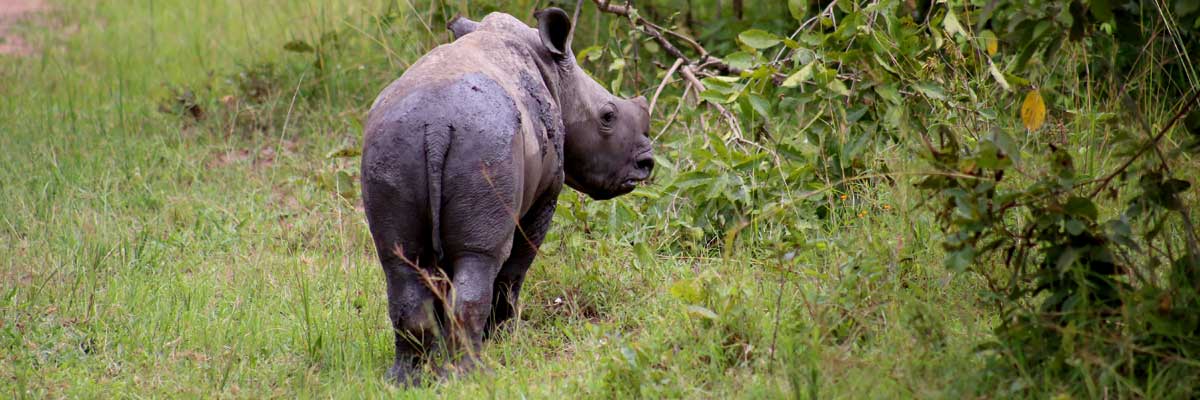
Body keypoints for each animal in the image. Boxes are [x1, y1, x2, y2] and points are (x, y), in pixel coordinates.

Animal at [360, 7, 657, 381]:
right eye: (608, 116)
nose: (646, 164)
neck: (555, 75)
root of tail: (437, 126)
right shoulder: (547, 190)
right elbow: (516, 266)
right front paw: (504, 338)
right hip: (485, 143)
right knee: (482, 258)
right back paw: (470, 373)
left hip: (391, 145)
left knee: (399, 261)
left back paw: (405, 379)